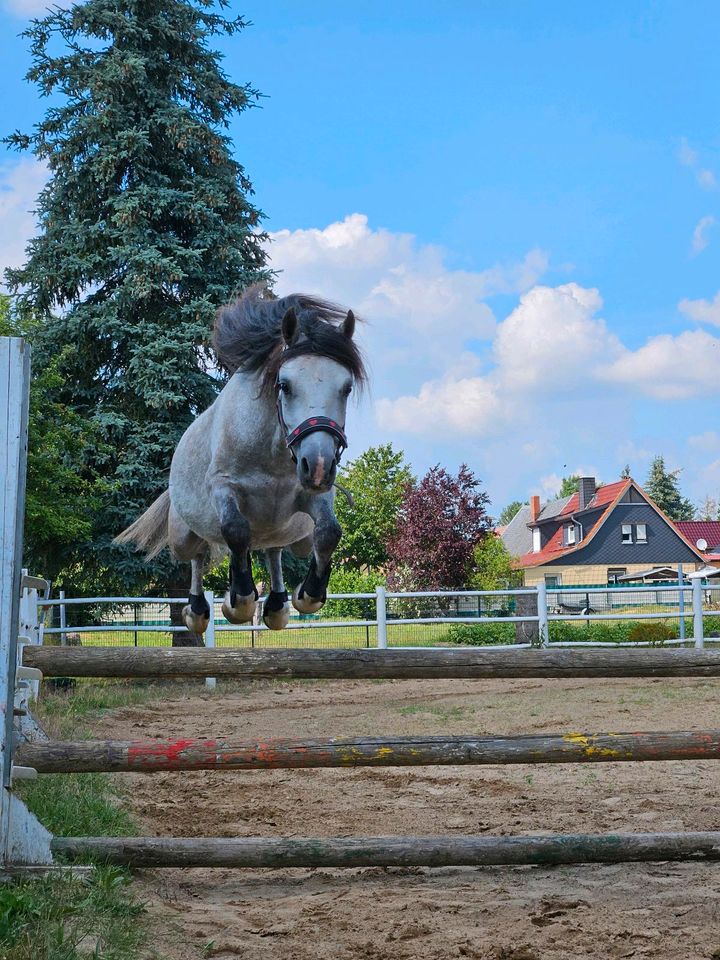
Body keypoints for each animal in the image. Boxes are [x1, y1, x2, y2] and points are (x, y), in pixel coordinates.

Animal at [117, 282, 368, 632]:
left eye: (346, 388)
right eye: (284, 385)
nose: (318, 467)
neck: (272, 451)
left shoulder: (313, 497)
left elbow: (329, 532)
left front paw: (307, 594)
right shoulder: (225, 489)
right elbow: (236, 531)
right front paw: (239, 601)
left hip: (292, 535)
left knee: (274, 549)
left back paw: (276, 605)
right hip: (182, 536)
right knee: (199, 555)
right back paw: (198, 610)